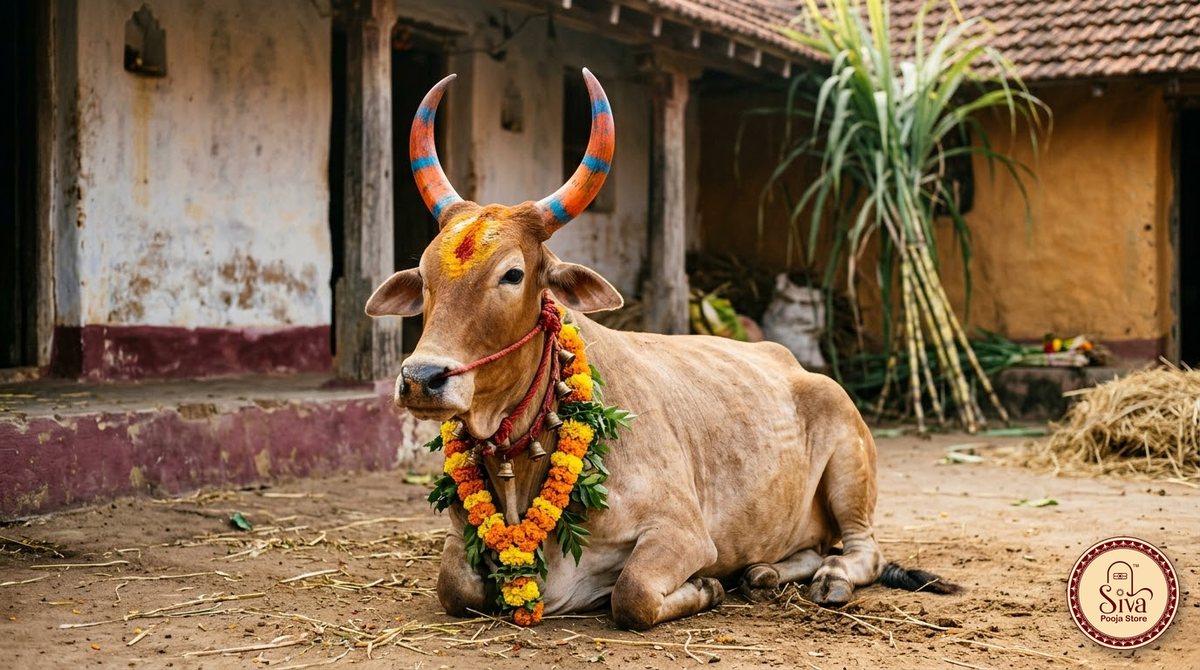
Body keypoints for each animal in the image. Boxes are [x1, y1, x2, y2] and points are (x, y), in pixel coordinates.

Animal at [365, 68, 959, 631]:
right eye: (424, 275)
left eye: (512, 274)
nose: (421, 379)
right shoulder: (459, 541)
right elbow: (454, 587)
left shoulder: (683, 534)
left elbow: (632, 595)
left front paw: (708, 588)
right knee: (807, 548)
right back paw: (762, 572)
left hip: (851, 468)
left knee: (863, 551)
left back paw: (826, 580)